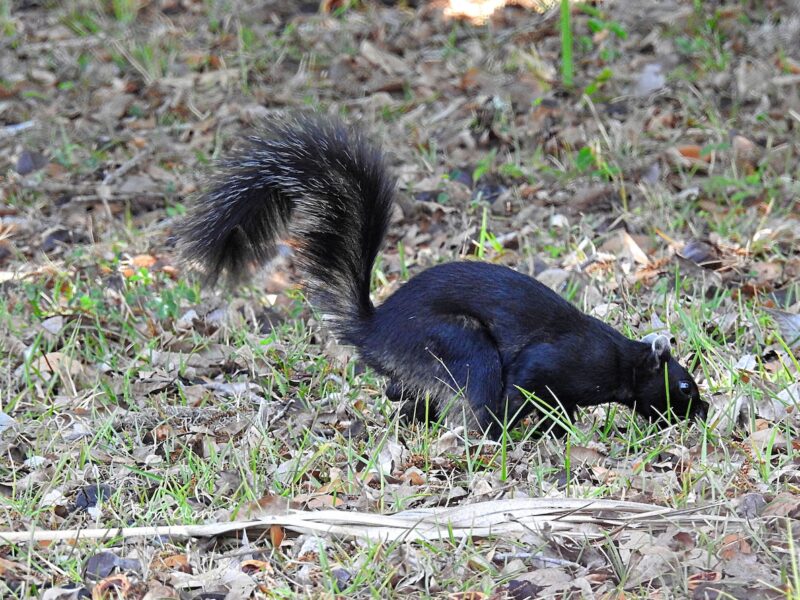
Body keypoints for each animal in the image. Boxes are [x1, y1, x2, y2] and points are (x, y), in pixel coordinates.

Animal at [177, 114, 707, 438]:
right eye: (684, 386)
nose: (701, 412)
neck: (619, 360)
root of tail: (373, 329)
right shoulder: (554, 360)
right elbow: (525, 384)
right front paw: (540, 427)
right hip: (457, 343)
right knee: (471, 390)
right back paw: (488, 434)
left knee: (404, 395)